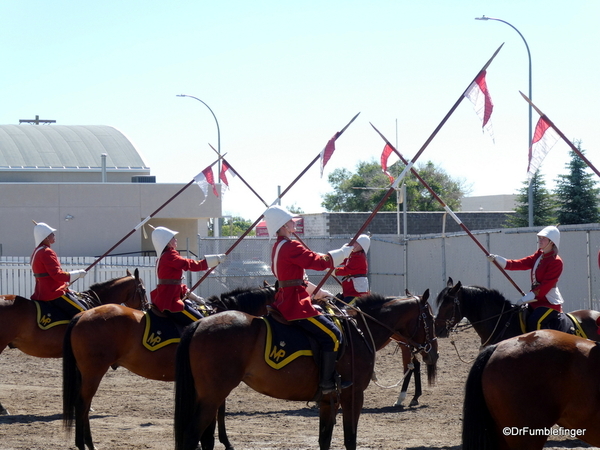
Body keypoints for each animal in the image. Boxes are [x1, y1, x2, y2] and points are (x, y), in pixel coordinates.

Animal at [61, 284, 276, 450]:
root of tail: (82, 314)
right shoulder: (216, 380)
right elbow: (219, 410)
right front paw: (224, 442)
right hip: (93, 371)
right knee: (82, 404)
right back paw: (85, 444)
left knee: (83, 405)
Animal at [171, 292, 438, 450]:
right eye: (430, 320)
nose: (433, 352)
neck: (360, 329)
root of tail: (200, 323)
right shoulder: (353, 396)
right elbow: (350, 439)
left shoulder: (330, 399)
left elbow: (325, 439)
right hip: (213, 395)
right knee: (192, 435)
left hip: (207, 396)